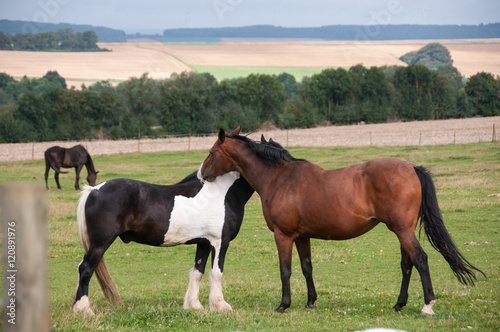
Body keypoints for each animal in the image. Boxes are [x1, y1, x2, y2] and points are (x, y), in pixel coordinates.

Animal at [71, 169, 254, 316]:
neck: (220, 193)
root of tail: (93, 190)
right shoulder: (219, 241)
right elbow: (216, 272)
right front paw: (220, 306)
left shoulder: (203, 243)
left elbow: (198, 271)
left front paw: (194, 306)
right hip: (100, 243)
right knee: (85, 269)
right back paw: (84, 309)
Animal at [199, 127, 484, 314]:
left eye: (211, 152)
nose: (201, 175)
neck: (280, 178)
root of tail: (411, 167)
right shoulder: (302, 236)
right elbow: (307, 267)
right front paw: (311, 301)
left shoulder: (283, 235)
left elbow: (285, 270)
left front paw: (283, 305)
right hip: (404, 231)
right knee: (407, 264)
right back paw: (399, 304)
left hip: (403, 230)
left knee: (420, 259)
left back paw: (427, 304)